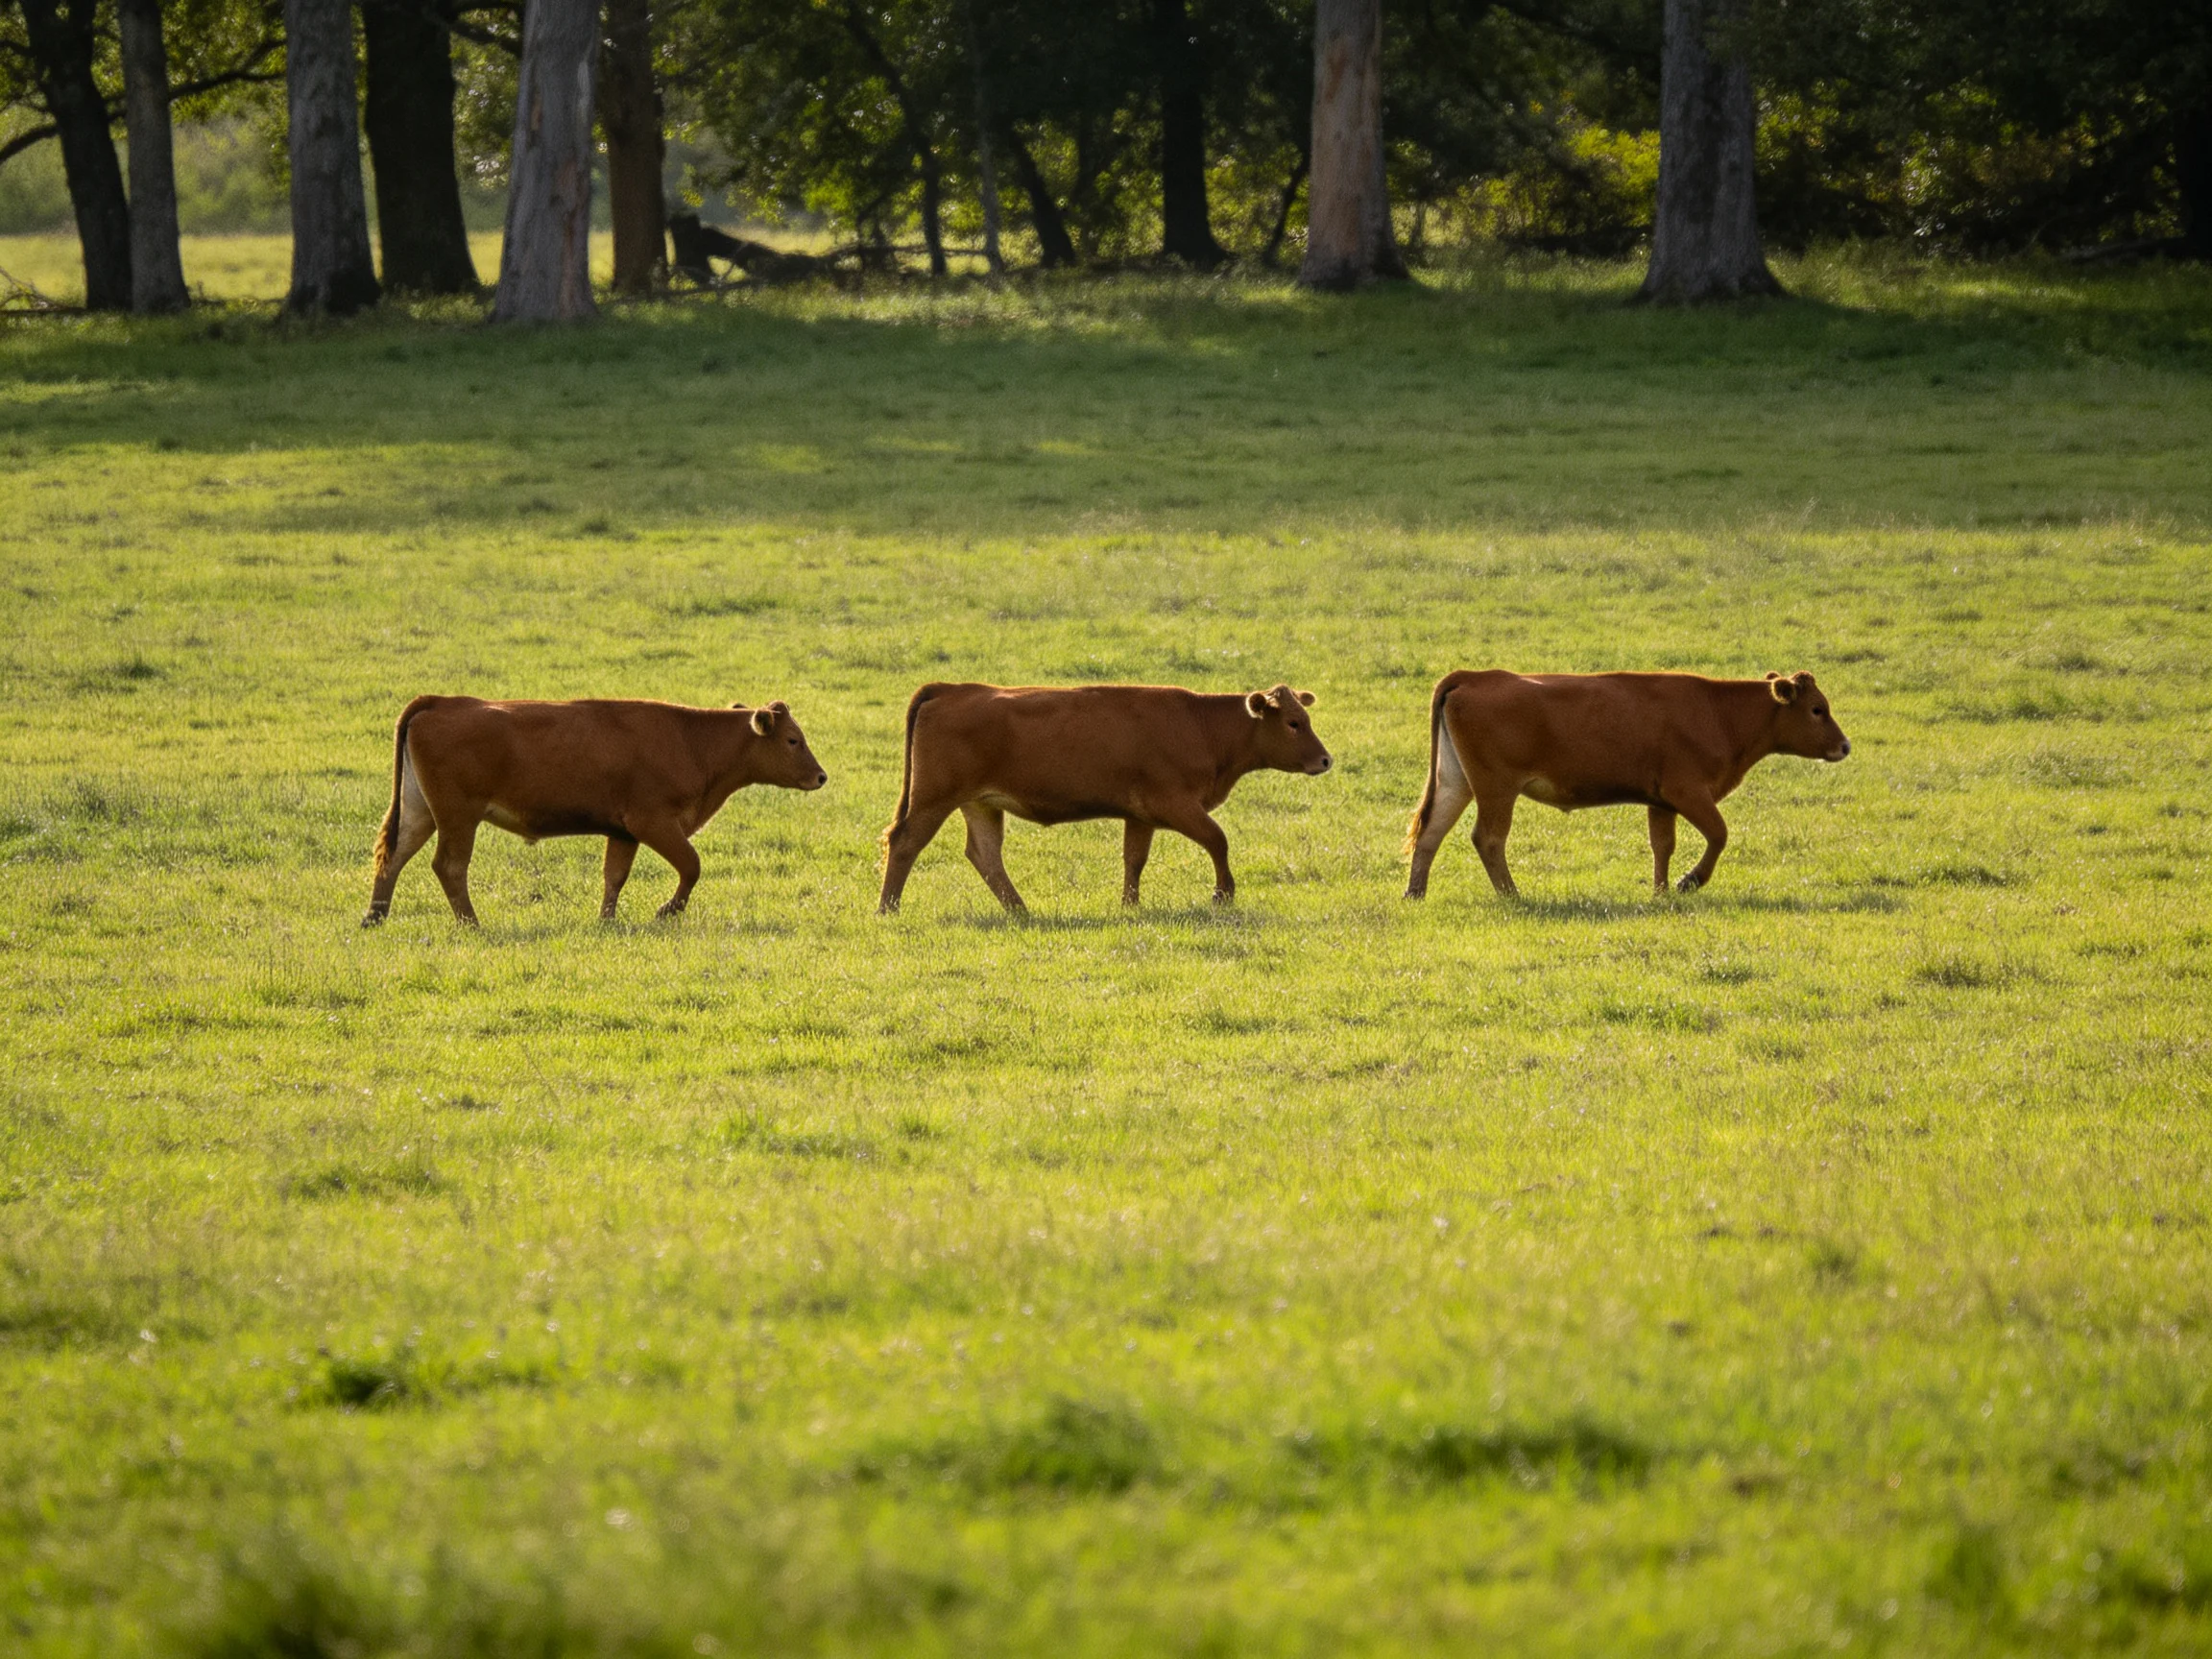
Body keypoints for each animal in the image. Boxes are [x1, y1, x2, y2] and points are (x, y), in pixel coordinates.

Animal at [362, 696, 827, 927]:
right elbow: (691, 866)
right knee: (449, 867)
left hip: (420, 811)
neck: (691, 740)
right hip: (458, 817)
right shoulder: (653, 822)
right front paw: (667, 911)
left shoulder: (623, 832)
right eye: (793, 740)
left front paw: (606, 920)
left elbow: (614, 877)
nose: (821, 777)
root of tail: (442, 703)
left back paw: (375, 917)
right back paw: (471, 924)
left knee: (393, 857)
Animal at [878, 682, 1333, 914]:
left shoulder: (1141, 815)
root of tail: (951, 689)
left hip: (981, 804)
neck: (1202, 726)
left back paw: (1021, 910)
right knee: (905, 843)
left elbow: (1134, 859)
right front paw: (1223, 894)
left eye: (1306, 718)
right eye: (1294, 723)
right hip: (934, 798)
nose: (1325, 760)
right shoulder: (1177, 805)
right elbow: (1217, 841)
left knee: (985, 855)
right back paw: (888, 908)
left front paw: (1129, 905)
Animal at [1404, 669, 1850, 899]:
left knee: (1431, 833)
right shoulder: (1688, 792)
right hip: (1496, 788)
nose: (1845, 745)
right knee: (1488, 839)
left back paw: (1415, 893)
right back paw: (1513, 895)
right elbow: (1719, 835)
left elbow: (1663, 846)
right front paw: (1689, 881)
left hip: (1456, 782)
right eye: (1817, 709)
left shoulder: (1661, 801)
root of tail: (1475, 677)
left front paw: (1661, 891)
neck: (1719, 713)